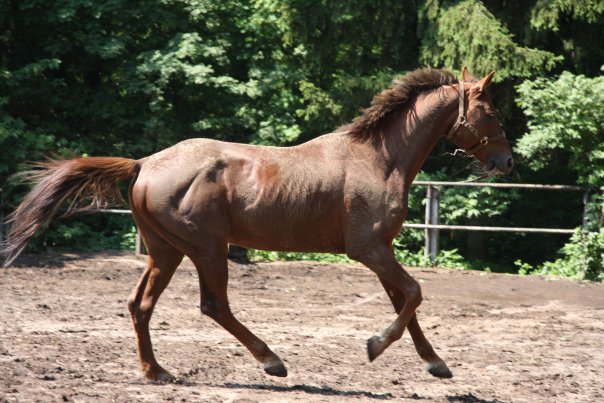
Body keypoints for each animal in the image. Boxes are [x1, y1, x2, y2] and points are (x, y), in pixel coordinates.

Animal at [1, 65, 516, 382]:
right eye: (491, 111)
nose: (507, 161)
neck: (378, 159)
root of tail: (145, 163)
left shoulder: (381, 251)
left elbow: (406, 304)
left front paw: (435, 364)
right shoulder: (369, 250)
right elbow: (413, 295)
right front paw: (374, 346)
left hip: (165, 251)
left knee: (140, 305)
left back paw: (156, 372)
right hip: (206, 250)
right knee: (213, 306)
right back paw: (272, 361)